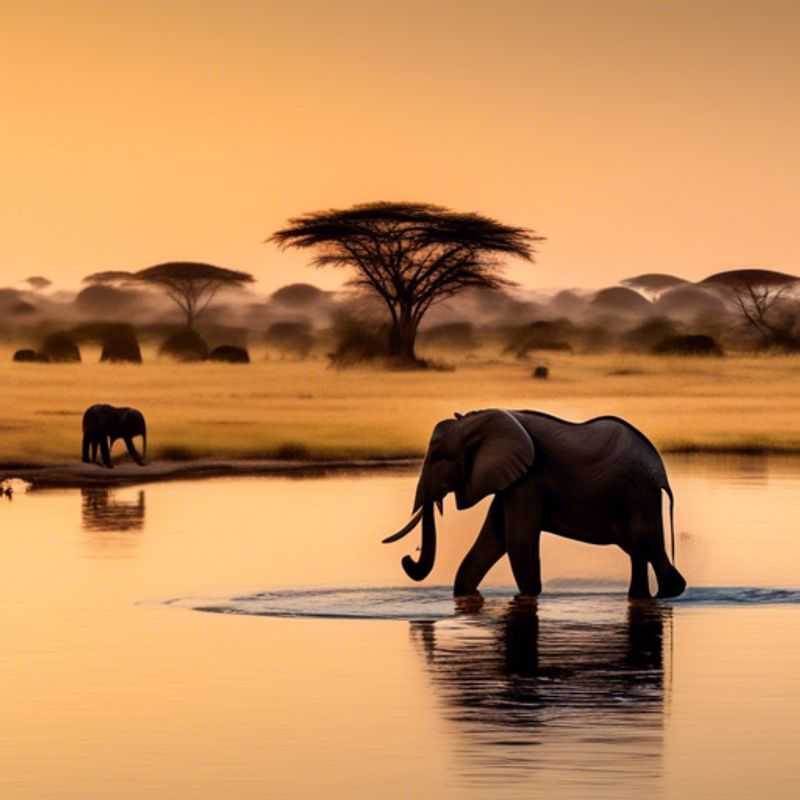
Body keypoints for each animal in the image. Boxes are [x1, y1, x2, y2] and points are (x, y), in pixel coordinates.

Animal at [382, 409, 686, 600]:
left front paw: (526, 596)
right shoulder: (510, 479)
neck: (477, 419)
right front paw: (465, 594)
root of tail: (660, 470)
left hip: (638, 492)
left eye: (438, 458)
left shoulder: (528, 479)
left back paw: (668, 593)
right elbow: (494, 538)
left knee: (643, 542)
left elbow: (517, 541)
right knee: (639, 548)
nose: (407, 558)